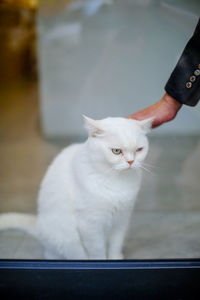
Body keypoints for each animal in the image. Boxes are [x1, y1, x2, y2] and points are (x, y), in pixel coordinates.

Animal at [0, 116, 152, 258]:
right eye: (116, 151)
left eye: (139, 150)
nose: (131, 161)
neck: (116, 181)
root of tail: (38, 225)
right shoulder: (91, 225)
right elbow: (98, 251)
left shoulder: (122, 219)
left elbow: (116, 245)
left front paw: (116, 258)